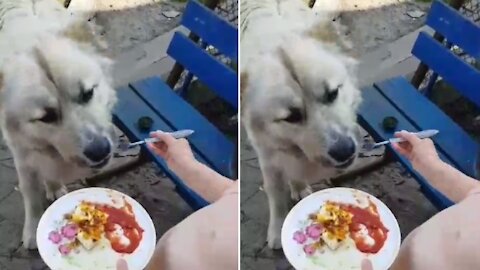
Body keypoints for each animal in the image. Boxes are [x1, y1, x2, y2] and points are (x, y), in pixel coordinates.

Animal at [0, 0, 116, 249]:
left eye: (87, 93)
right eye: (47, 117)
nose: (100, 150)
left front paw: (53, 188)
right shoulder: (23, 154)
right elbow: (30, 193)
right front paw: (32, 229)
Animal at [242, 0, 362, 249]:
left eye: (332, 93)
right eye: (292, 116)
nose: (345, 150)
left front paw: (298, 188)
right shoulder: (268, 154)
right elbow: (275, 192)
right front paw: (277, 229)